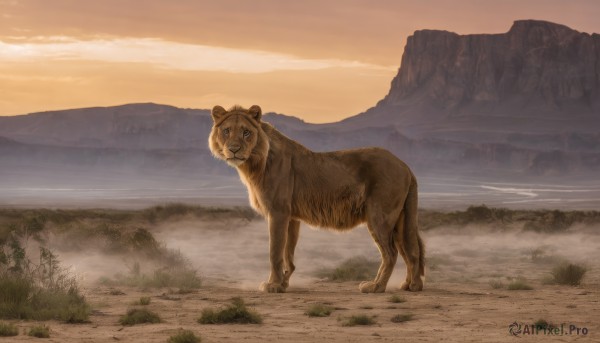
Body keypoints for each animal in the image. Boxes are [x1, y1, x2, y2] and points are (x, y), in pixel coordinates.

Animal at [209, 105, 424, 292]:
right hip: (400, 219)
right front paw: (283, 284)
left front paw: (272, 285)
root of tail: (405, 165)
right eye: (227, 131)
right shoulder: (290, 216)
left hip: (379, 215)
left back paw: (375, 287)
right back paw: (411, 285)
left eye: (246, 132)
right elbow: (288, 252)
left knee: (391, 253)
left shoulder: (277, 212)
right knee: (411, 250)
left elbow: (275, 251)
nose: (234, 149)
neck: (255, 163)